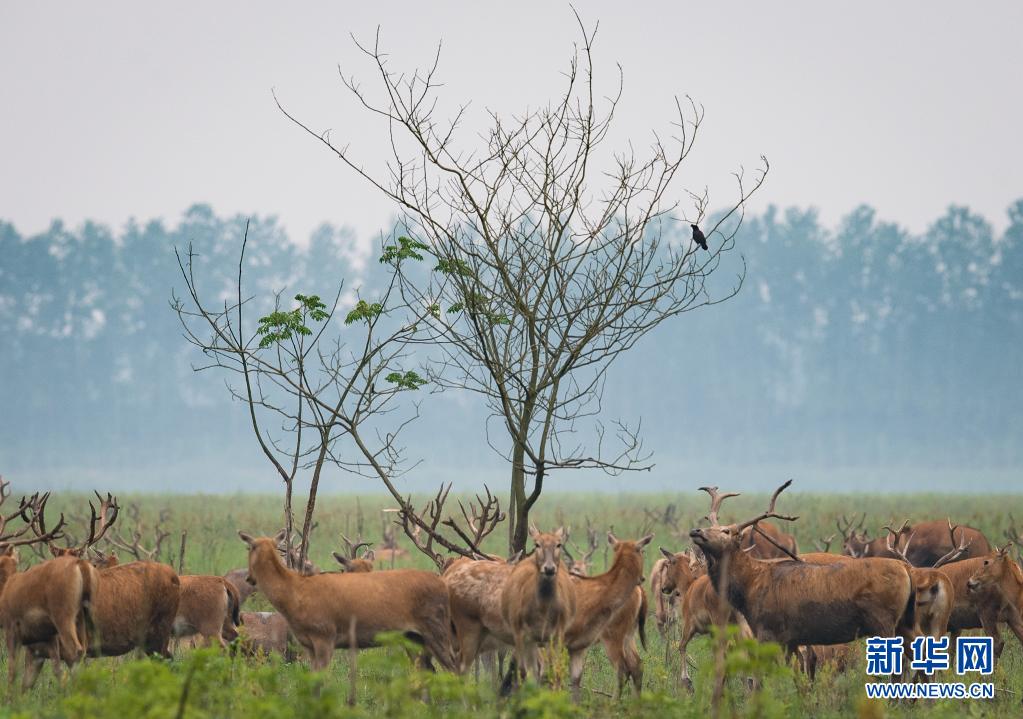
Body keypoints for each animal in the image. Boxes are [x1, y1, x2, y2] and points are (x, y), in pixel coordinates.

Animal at [501, 527, 581, 687]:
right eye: (537, 544)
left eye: (559, 544)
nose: (549, 568)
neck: (543, 612)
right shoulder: (520, 631)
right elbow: (523, 671)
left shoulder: (557, 632)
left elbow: (552, 671)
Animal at [687, 482, 920, 675]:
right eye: (710, 525)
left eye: (726, 531)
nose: (696, 530)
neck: (749, 587)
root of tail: (907, 569)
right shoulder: (790, 638)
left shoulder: (769, 630)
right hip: (904, 624)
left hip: (884, 622)